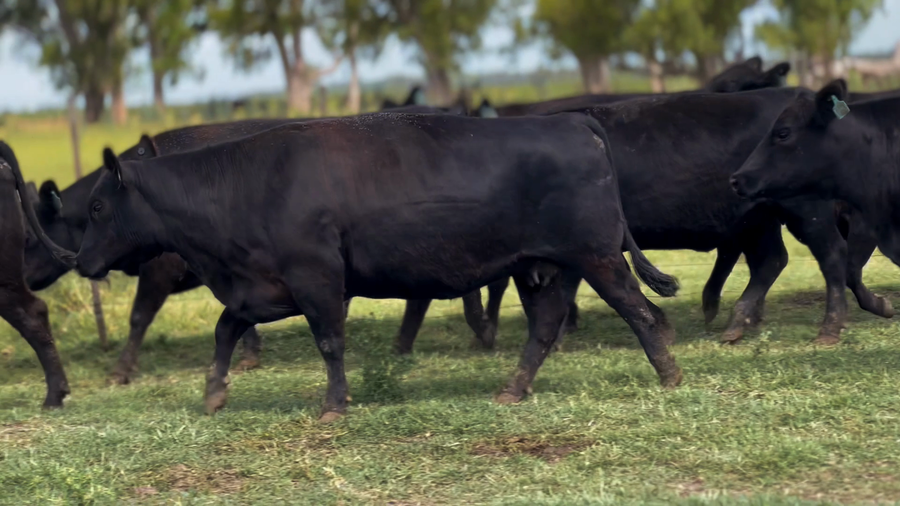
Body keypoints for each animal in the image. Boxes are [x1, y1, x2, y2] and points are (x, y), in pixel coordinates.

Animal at [72, 113, 683, 421]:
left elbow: (329, 343)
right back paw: (514, 388)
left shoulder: (317, 278)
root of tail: (574, 122)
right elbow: (226, 329)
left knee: (641, 312)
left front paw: (333, 405)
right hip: (543, 268)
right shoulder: (262, 287)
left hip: (597, 257)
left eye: (98, 207)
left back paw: (670, 375)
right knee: (545, 328)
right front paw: (214, 392)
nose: (78, 260)